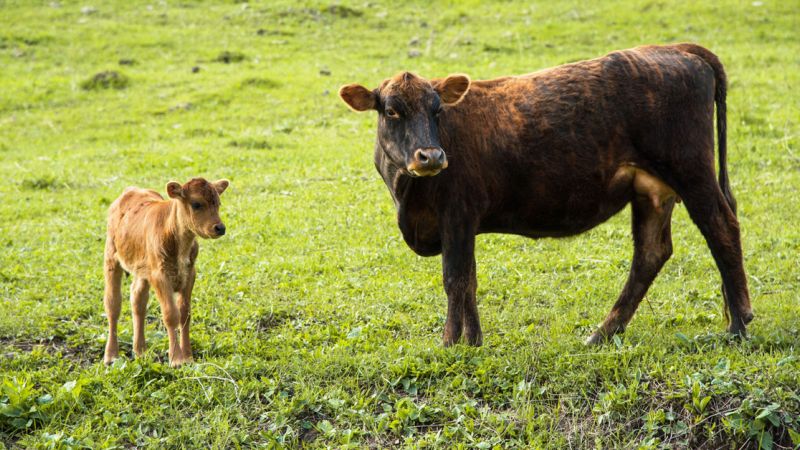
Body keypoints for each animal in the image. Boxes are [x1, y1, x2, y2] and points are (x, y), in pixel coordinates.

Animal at [103, 178, 229, 367]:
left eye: (218, 203)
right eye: (196, 204)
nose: (220, 228)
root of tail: (131, 190)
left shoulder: (190, 274)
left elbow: (185, 314)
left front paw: (188, 357)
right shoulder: (160, 276)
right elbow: (171, 315)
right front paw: (176, 359)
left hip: (142, 269)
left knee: (138, 300)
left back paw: (140, 352)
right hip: (111, 258)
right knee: (113, 304)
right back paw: (111, 356)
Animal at [339, 43, 753, 346]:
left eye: (437, 109)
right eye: (392, 111)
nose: (432, 156)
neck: (406, 195)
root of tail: (675, 49)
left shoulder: (457, 213)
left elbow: (455, 278)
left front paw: (451, 344)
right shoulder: (462, 223)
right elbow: (468, 279)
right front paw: (471, 340)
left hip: (691, 171)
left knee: (721, 227)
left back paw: (738, 325)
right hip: (651, 189)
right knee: (651, 252)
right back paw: (602, 333)